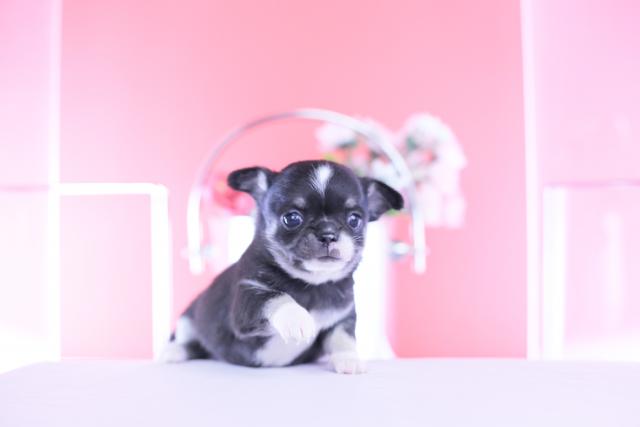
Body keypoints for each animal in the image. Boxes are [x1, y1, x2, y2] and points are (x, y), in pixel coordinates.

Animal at [160, 160, 403, 374]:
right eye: (292, 218)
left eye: (355, 220)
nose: (328, 234)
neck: (311, 284)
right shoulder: (247, 299)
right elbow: (274, 297)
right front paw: (297, 318)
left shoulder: (341, 319)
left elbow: (343, 338)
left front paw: (349, 359)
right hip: (188, 317)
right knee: (189, 342)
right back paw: (173, 352)